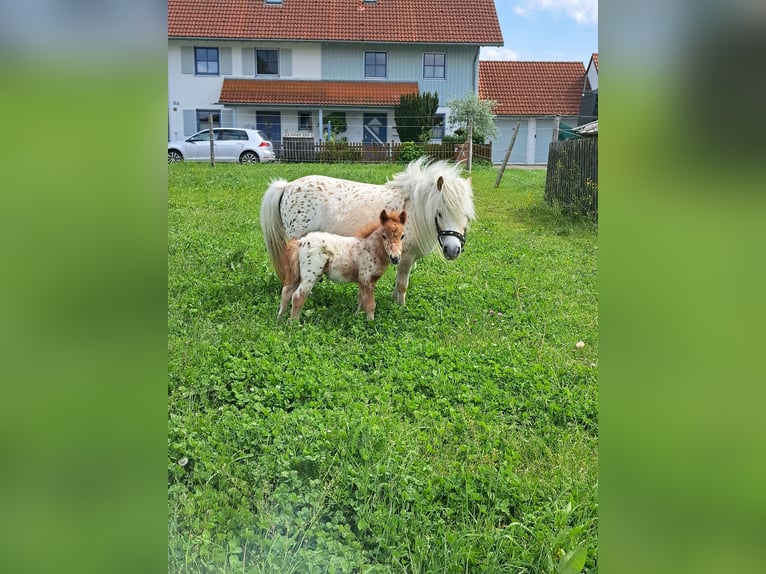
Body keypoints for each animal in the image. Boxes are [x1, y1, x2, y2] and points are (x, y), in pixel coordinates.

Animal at [260, 160, 474, 306]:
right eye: (440, 212)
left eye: (465, 215)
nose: (453, 250)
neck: (413, 209)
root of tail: (287, 186)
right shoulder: (406, 258)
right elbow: (402, 284)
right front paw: (400, 307)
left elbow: (398, 285)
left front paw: (394, 301)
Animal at [278, 210, 408, 322]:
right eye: (384, 236)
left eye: (402, 236)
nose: (395, 258)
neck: (371, 249)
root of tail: (301, 242)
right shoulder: (367, 280)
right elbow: (371, 305)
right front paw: (371, 323)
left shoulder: (362, 282)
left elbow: (361, 302)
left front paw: (357, 317)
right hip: (310, 276)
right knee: (297, 296)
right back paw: (294, 324)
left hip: (297, 274)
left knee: (286, 292)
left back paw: (280, 320)